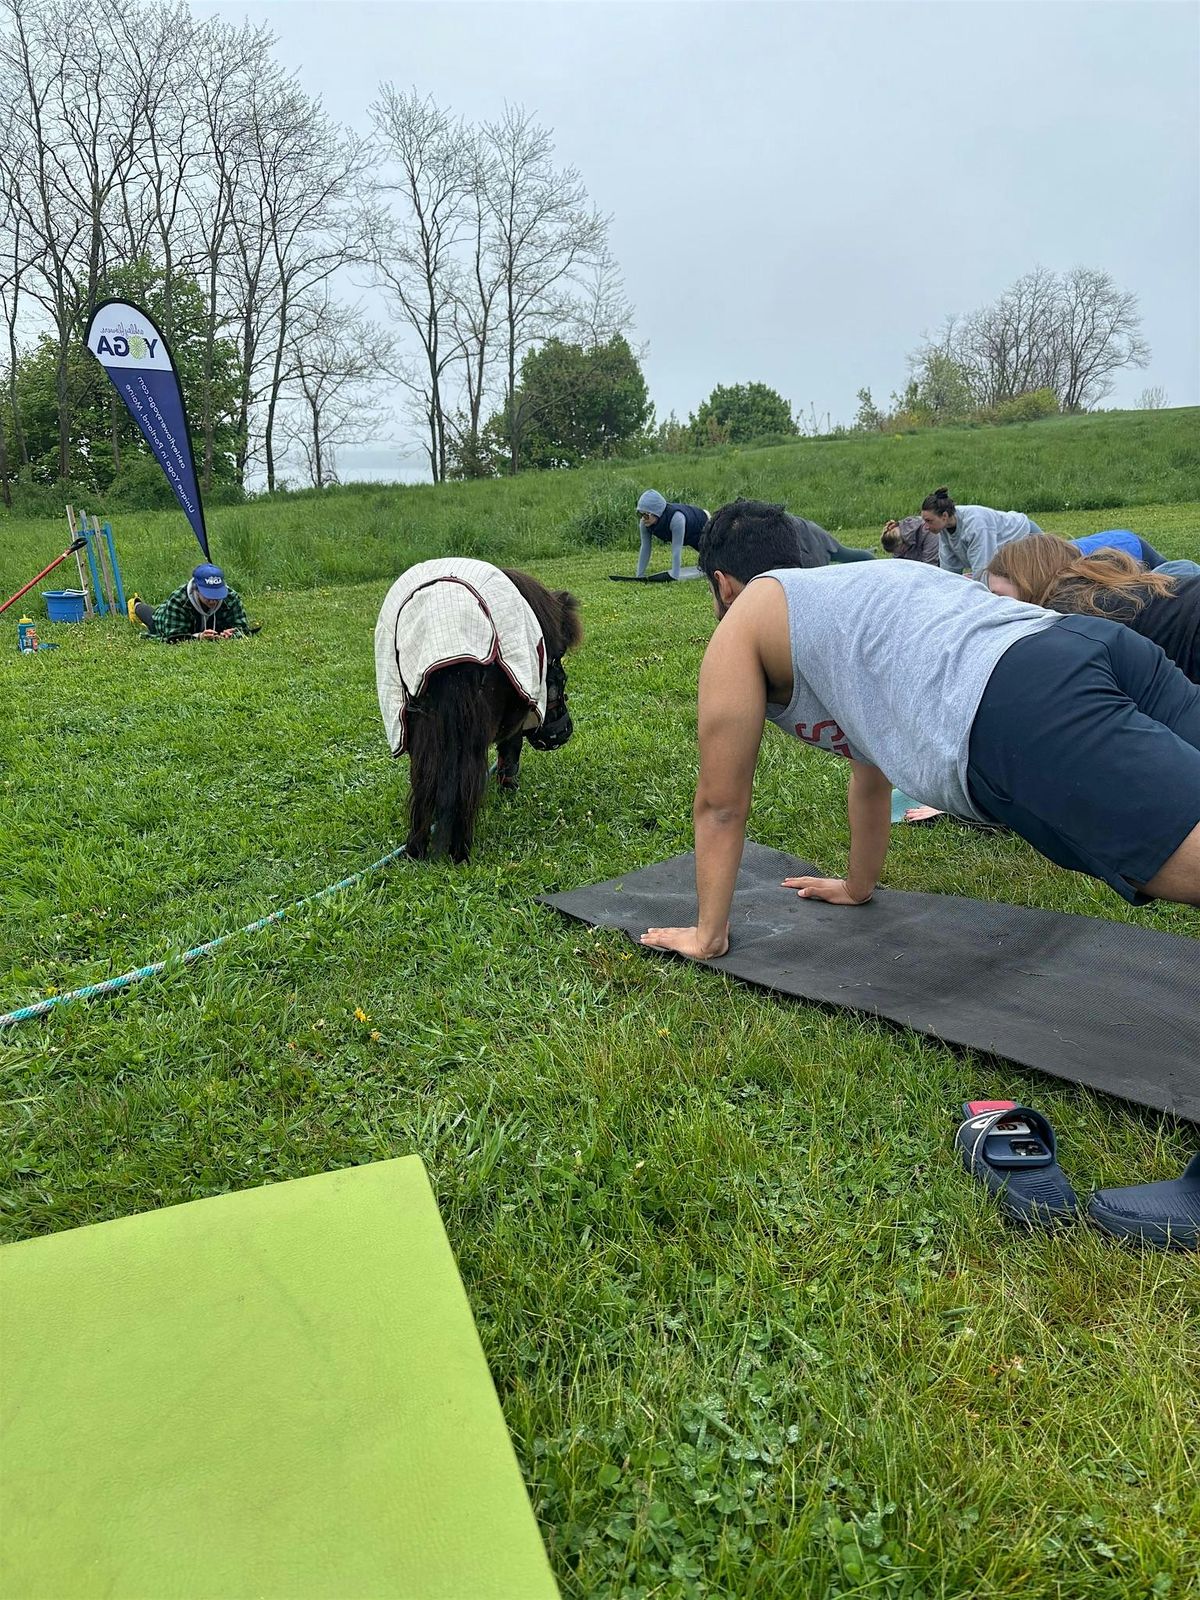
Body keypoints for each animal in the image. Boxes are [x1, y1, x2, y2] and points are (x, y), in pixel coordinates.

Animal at [404, 566, 582, 864]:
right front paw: (509, 789)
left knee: (425, 783)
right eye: (557, 661)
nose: (564, 732)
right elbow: (510, 752)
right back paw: (460, 852)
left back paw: (415, 852)